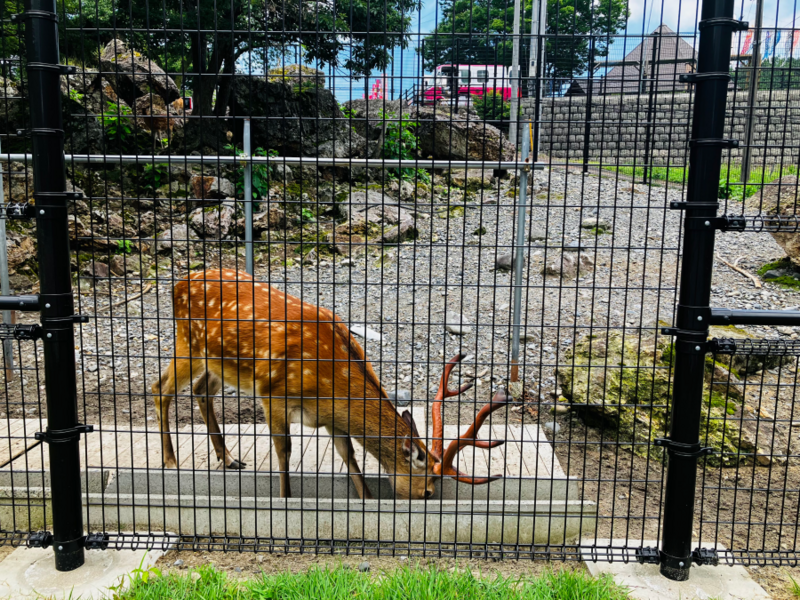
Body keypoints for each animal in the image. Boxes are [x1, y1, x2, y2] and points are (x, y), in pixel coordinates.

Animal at [153, 270, 510, 500]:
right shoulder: (273, 394)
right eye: (426, 489)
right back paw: (170, 462)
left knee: (200, 390)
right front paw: (285, 499)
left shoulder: (330, 417)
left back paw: (228, 458)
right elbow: (284, 451)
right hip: (188, 340)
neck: (327, 385)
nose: (428, 495)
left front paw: (366, 499)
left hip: (217, 362)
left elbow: (349, 455)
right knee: (161, 388)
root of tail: (178, 283)